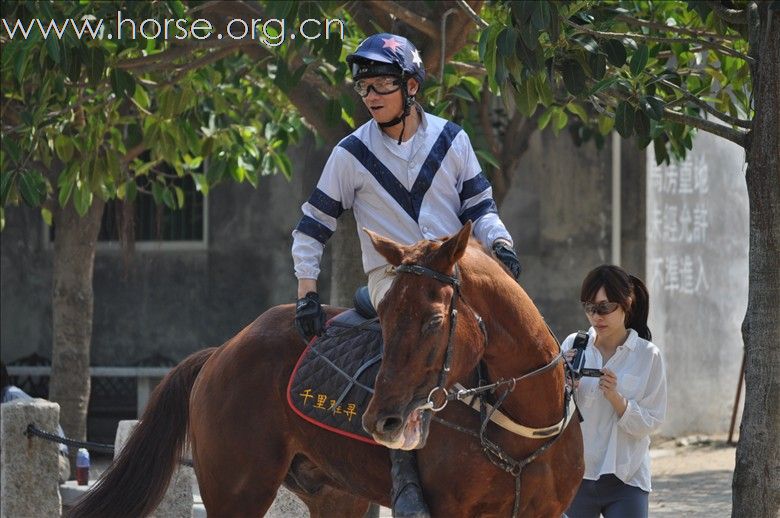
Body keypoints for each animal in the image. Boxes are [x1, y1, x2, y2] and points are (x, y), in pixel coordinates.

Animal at [70, 223, 580, 518]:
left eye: (435, 321)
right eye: (385, 315)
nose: (381, 421)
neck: (522, 430)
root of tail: (220, 353)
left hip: (336, 493)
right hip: (237, 491)